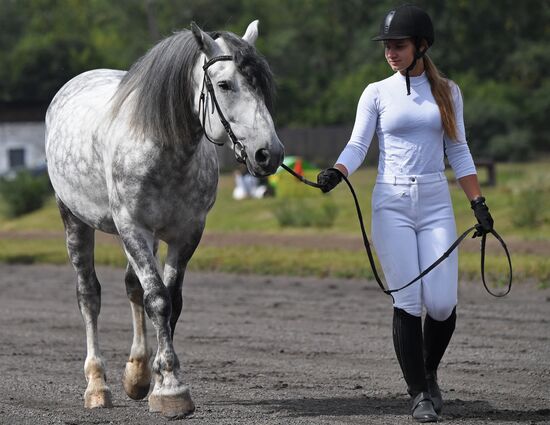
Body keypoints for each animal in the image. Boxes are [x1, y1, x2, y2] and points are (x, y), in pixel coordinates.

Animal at [45, 20, 284, 418]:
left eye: (263, 85)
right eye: (224, 84)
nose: (270, 154)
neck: (162, 147)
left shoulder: (185, 234)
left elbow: (170, 302)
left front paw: (157, 380)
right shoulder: (133, 229)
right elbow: (158, 299)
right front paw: (172, 388)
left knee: (132, 287)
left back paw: (136, 375)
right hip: (75, 219)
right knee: (89, 294)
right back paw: (97, 385)